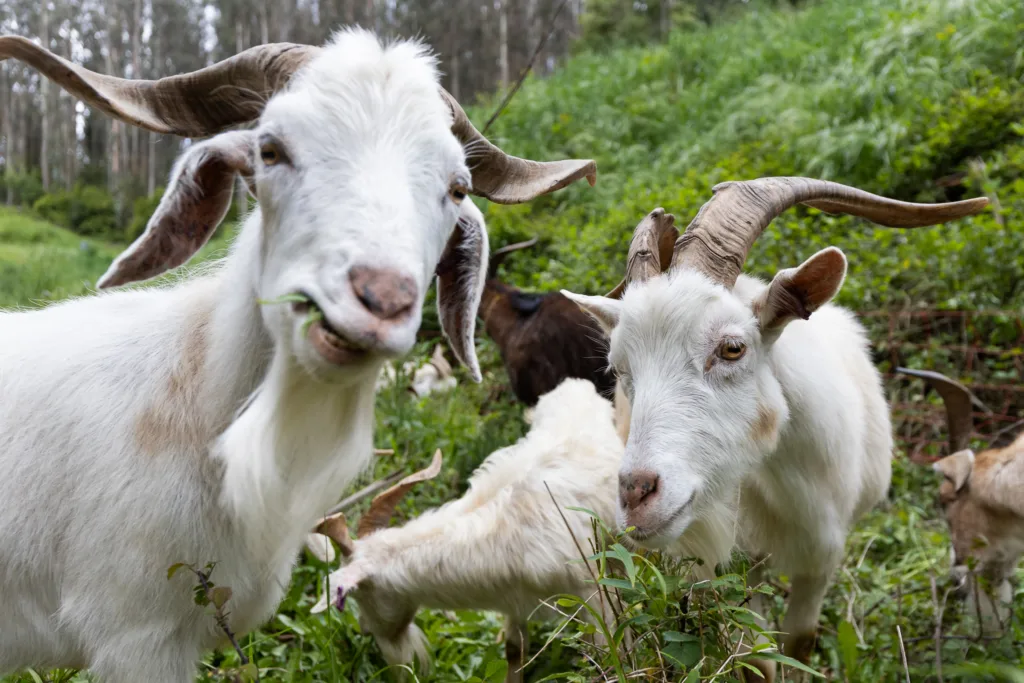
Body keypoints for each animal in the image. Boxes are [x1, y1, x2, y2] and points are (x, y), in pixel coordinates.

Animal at [307, 378, 624, 683]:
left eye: (354, 595)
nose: (363, 629)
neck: (503, 528)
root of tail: (575, 383)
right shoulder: (515, 599)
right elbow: (514, 648)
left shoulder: (593, 591)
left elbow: (610, 649)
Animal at [563, 181, 988, 679]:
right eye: (619, 367)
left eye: (732, 348)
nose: (636, 493)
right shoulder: (734, 564)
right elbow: (757, 661)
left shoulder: (824, 553)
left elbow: (800, 641)